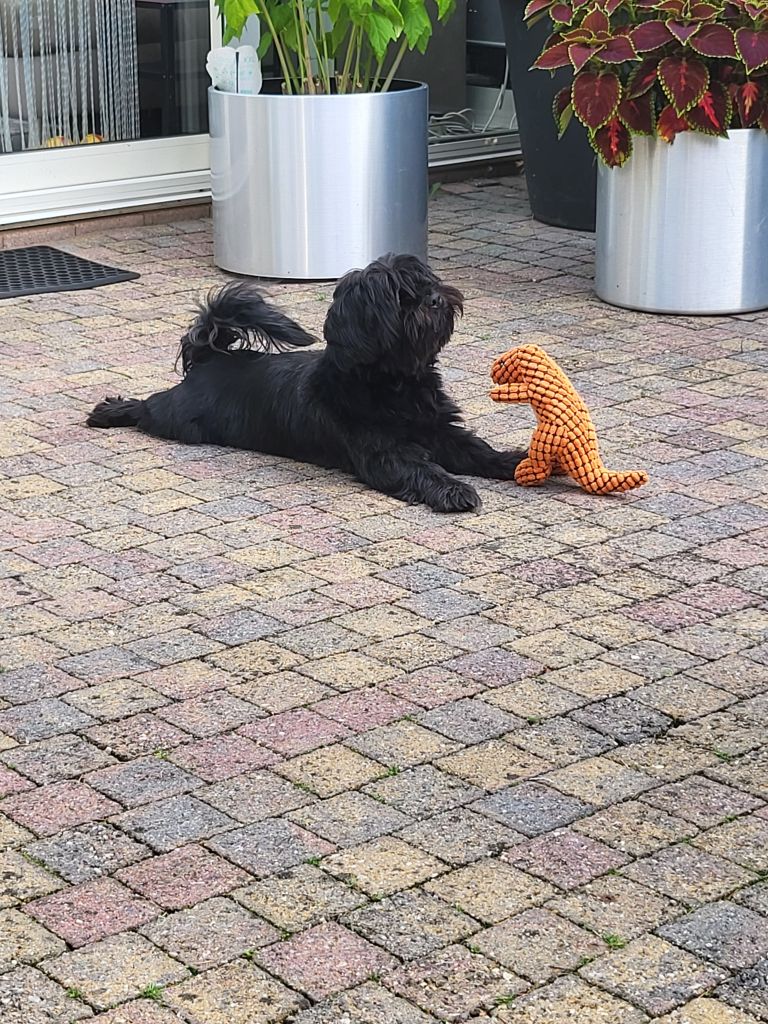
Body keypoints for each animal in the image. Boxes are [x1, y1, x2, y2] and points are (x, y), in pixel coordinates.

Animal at [87, 254, 523, 512]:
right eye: (400, 297)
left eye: (426, 282)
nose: (434, 298)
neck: (395, 384)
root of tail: (213, 359)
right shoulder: (385, 453)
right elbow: (423, 470)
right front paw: (453, 490)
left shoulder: (442, 431)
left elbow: (479, 451)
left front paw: (516, 461)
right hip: (178, 420)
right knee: (147, 406)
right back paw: (110, 410)